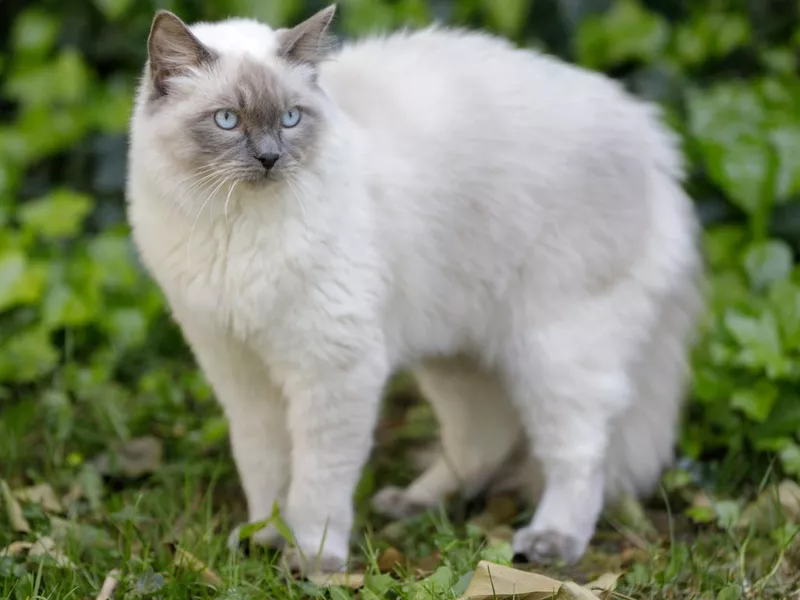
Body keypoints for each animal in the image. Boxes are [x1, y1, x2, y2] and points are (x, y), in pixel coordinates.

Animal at [125, 5, 700, 576]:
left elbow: (317, 481)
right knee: (482, 437)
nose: (269, 158)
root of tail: (655, 139)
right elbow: (265, 470)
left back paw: (550, 541)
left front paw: (310, 557)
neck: (237, 226)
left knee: (580, 452)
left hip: (553, 350)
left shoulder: (331, 369)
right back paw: (412, 503)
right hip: (457, 350)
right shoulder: (240, 372)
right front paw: (261, 540)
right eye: (227, 119)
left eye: (290, 118)